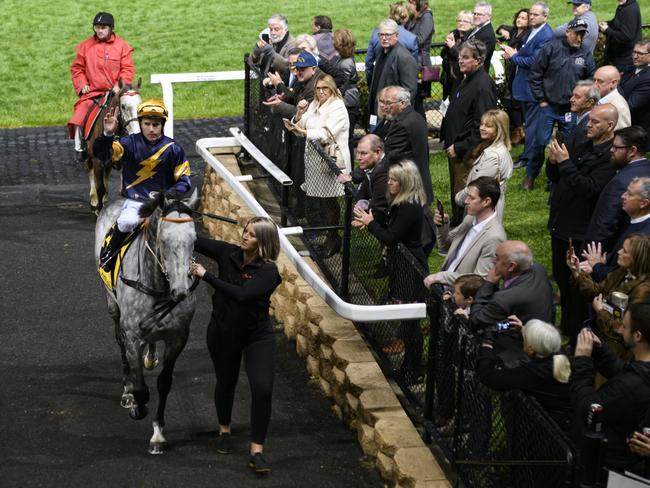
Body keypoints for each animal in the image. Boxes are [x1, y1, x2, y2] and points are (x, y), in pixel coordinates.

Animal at [95, 190, 197, 454]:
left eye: (194, 239)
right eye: (164, 240)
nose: (180, 291)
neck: (158, 288)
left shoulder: (178, 337)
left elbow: (164, 382)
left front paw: (158, 433)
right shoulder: (132, 335)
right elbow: (141, 386)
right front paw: (137, 406)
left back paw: (150, 357)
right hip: (112, 306)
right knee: (119, 343)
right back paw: (128, 391)